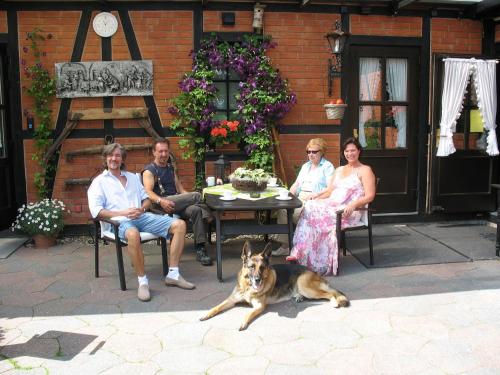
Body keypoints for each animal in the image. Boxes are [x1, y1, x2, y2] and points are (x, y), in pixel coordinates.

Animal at [199, 242, 348, 330]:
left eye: (262, 267)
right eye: (251, 267)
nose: (258, 280)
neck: (248, 287)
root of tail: (312, 271)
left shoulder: (259, 306)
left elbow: (248, 313)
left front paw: (243, 322)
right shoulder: (231, 300)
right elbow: (217, 307)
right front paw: (206, 313)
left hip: (306, 288)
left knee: (330, 293)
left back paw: (334, 302)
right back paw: (298, 297)